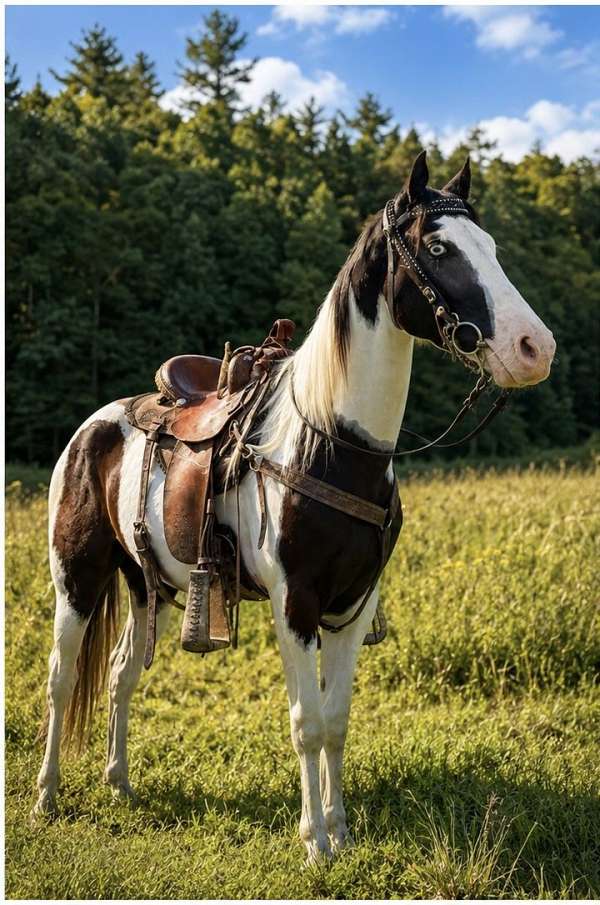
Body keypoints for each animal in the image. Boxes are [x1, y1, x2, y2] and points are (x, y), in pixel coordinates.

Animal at [33, 151, 556, 862]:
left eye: (493, 248)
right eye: (438, 248)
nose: (536, 348)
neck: (333, 443)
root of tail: (94, 426)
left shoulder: (353, 607)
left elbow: (336, 721)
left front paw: (341, 828)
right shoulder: (296, 604)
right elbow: (306, 721)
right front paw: (315, 843)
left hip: (153, 587)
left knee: (119, 675)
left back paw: (119, 784)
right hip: (77, 577)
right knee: (62, 679)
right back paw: (47, 797)